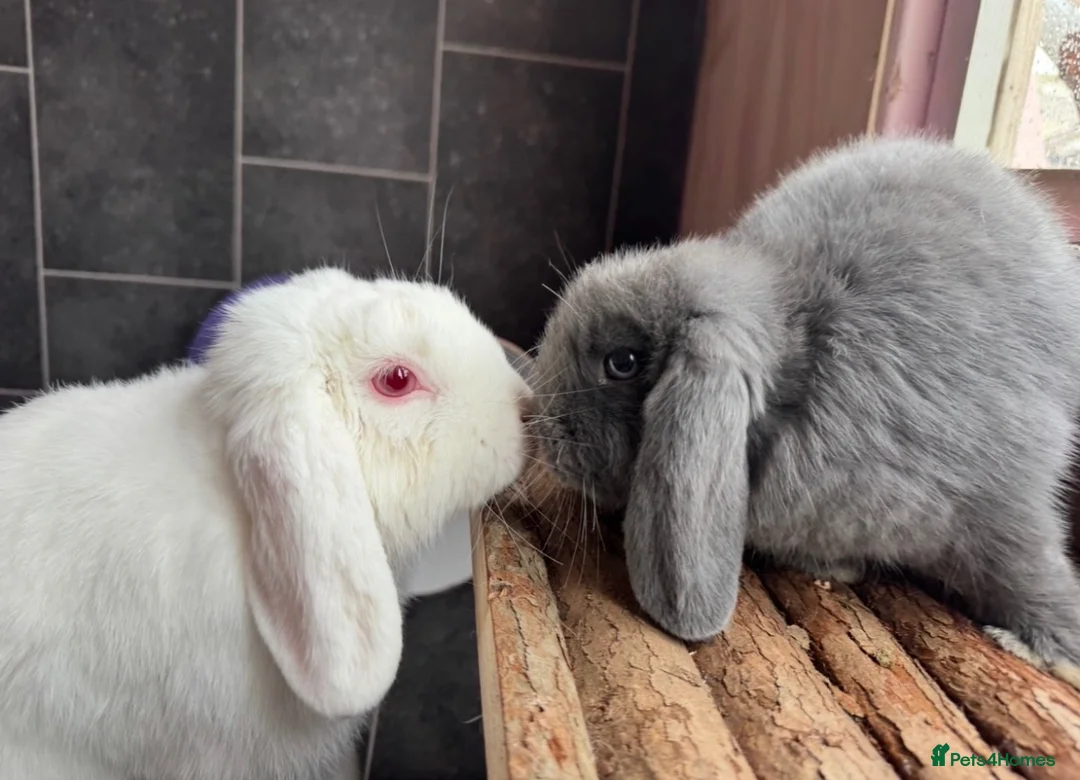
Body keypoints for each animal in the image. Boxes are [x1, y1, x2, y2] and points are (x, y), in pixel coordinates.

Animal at [529, 135, 1080, 684]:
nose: (543, 438)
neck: (804, 356)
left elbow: (1028, 574)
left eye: (622, 363)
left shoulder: (997, 500)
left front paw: (1049, 650)